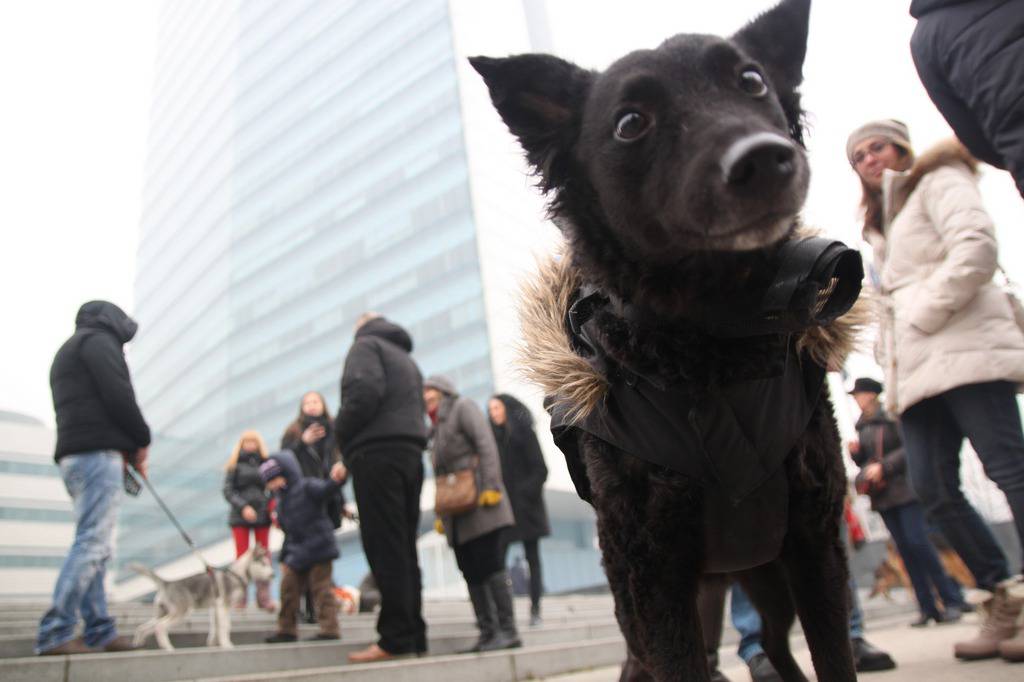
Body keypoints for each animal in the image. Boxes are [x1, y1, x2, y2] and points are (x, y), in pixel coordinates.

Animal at [133, 540, 276, 647]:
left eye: (269, 563)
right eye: (263, 564)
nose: (273, 575)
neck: (236, 575)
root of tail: (166, 583)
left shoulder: (215, 609)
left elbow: (215, 627)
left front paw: (213, 643)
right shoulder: (223, 606)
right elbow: (225, 626)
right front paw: (227, 645)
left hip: (161, 612)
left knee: (144, 627)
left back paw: (138, 643)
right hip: (181, 612)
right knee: (160, 627)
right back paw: (168, 648)